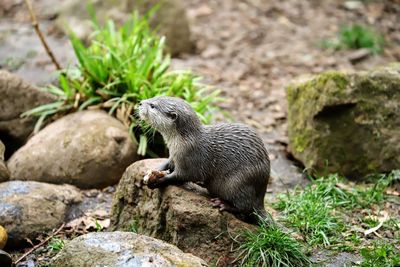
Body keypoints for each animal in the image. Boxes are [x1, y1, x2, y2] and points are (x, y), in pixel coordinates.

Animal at [138, 96, 272, 222]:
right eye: (154, 98)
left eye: (152, 106)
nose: (140, 103)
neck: (183, 141)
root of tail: (261, 196)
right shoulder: (174, 155)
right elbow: (167, 163)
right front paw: (152, 171)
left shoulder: (190, 159)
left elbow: (180, 176)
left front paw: (158, 181)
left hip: (239, 181)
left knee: (245, 207)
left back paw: (223, 204)